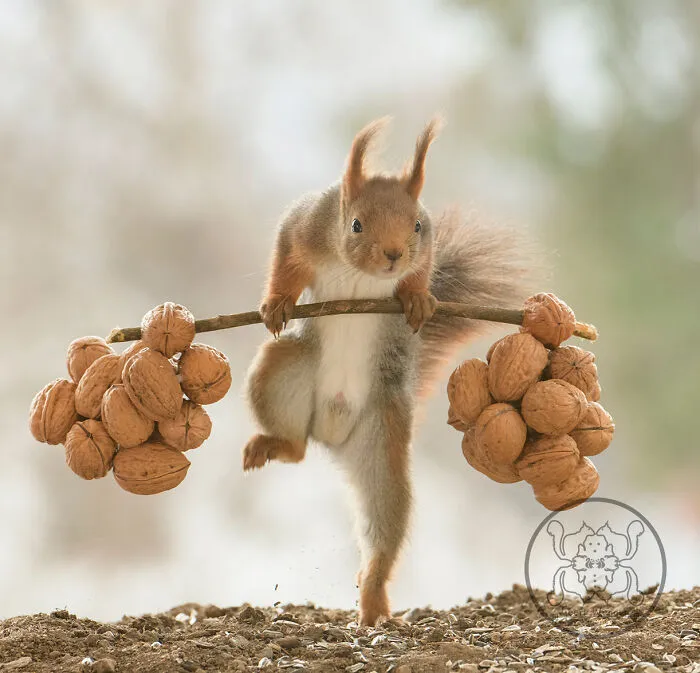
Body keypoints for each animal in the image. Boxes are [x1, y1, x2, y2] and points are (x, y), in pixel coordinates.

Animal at [243, 117, 530, 626]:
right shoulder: (304, 225)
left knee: (383, 522)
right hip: (280, 372)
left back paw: (374, 602)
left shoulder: (427, 244)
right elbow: (285, 259)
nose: (394, 254)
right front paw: (276, 303)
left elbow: (423, 272)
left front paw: (417, 298)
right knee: (294, 447)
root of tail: (330, 432)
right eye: (356, 223)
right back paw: (278, 444)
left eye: (416, 223)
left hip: (383, 439)